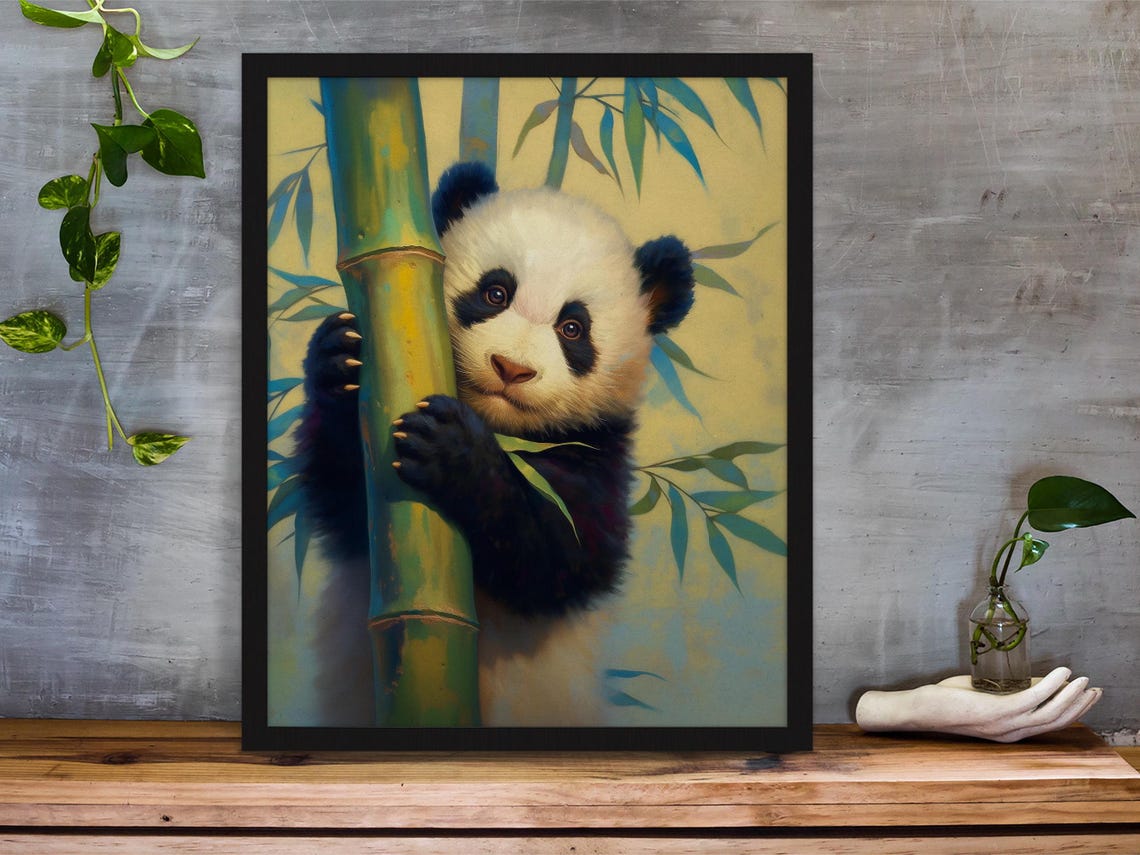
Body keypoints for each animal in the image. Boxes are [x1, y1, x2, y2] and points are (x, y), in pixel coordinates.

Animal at [295, 161, 695, 726]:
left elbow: (562, 558)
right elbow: (347, 506)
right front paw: (337, 359)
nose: (511, 368)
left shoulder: (595, 451)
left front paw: (454, 453)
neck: (499, 426)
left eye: (573, 328)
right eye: (495, 294)